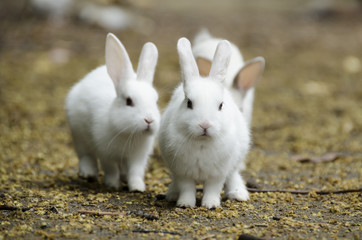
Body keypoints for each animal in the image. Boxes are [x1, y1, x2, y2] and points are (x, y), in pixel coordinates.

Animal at [65, 33, 161, 191]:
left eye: (156, 101)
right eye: (129, 101)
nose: (149, 120)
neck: (129, 134)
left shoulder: (138, 157)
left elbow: (135, 171)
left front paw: (137, 188)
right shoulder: (105, 152)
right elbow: (111, 169)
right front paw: (113, 185)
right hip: (79, 136)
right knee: (86, 155)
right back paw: (88, 174)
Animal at [160, 37, 250, 208]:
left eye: (220, 105)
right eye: (189, 103)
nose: (205, 125)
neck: (202, 142)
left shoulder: (217, 174)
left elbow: (213, 189)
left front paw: (211, 205)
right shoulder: (183, 172)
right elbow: (187, 188)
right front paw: (185, 204)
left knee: (233, 176)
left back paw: (239, 194)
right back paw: (172, 195)